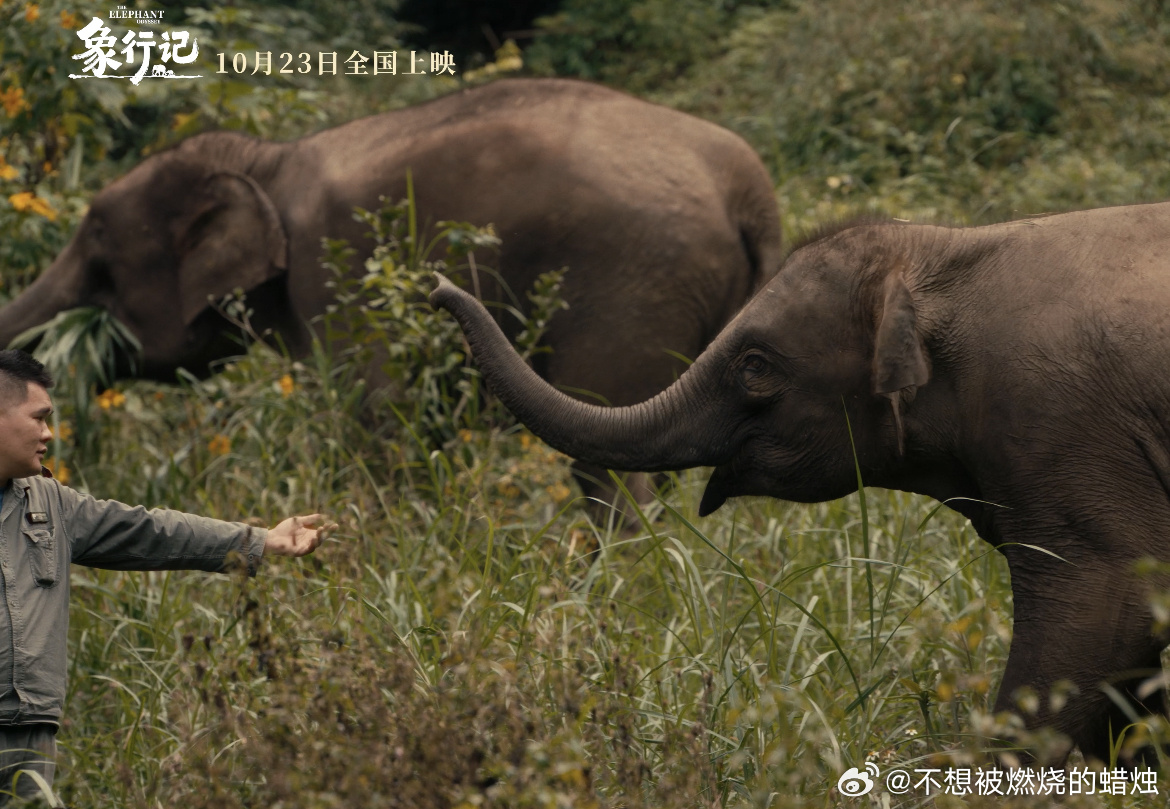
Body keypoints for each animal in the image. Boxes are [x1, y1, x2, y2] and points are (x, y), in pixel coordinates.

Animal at [0, 78, 782, 508]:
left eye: (98, 253)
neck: (265, 160)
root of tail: (748, 189)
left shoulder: (333, 277)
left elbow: (377, 416)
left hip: (630, 289)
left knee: (610, 462)